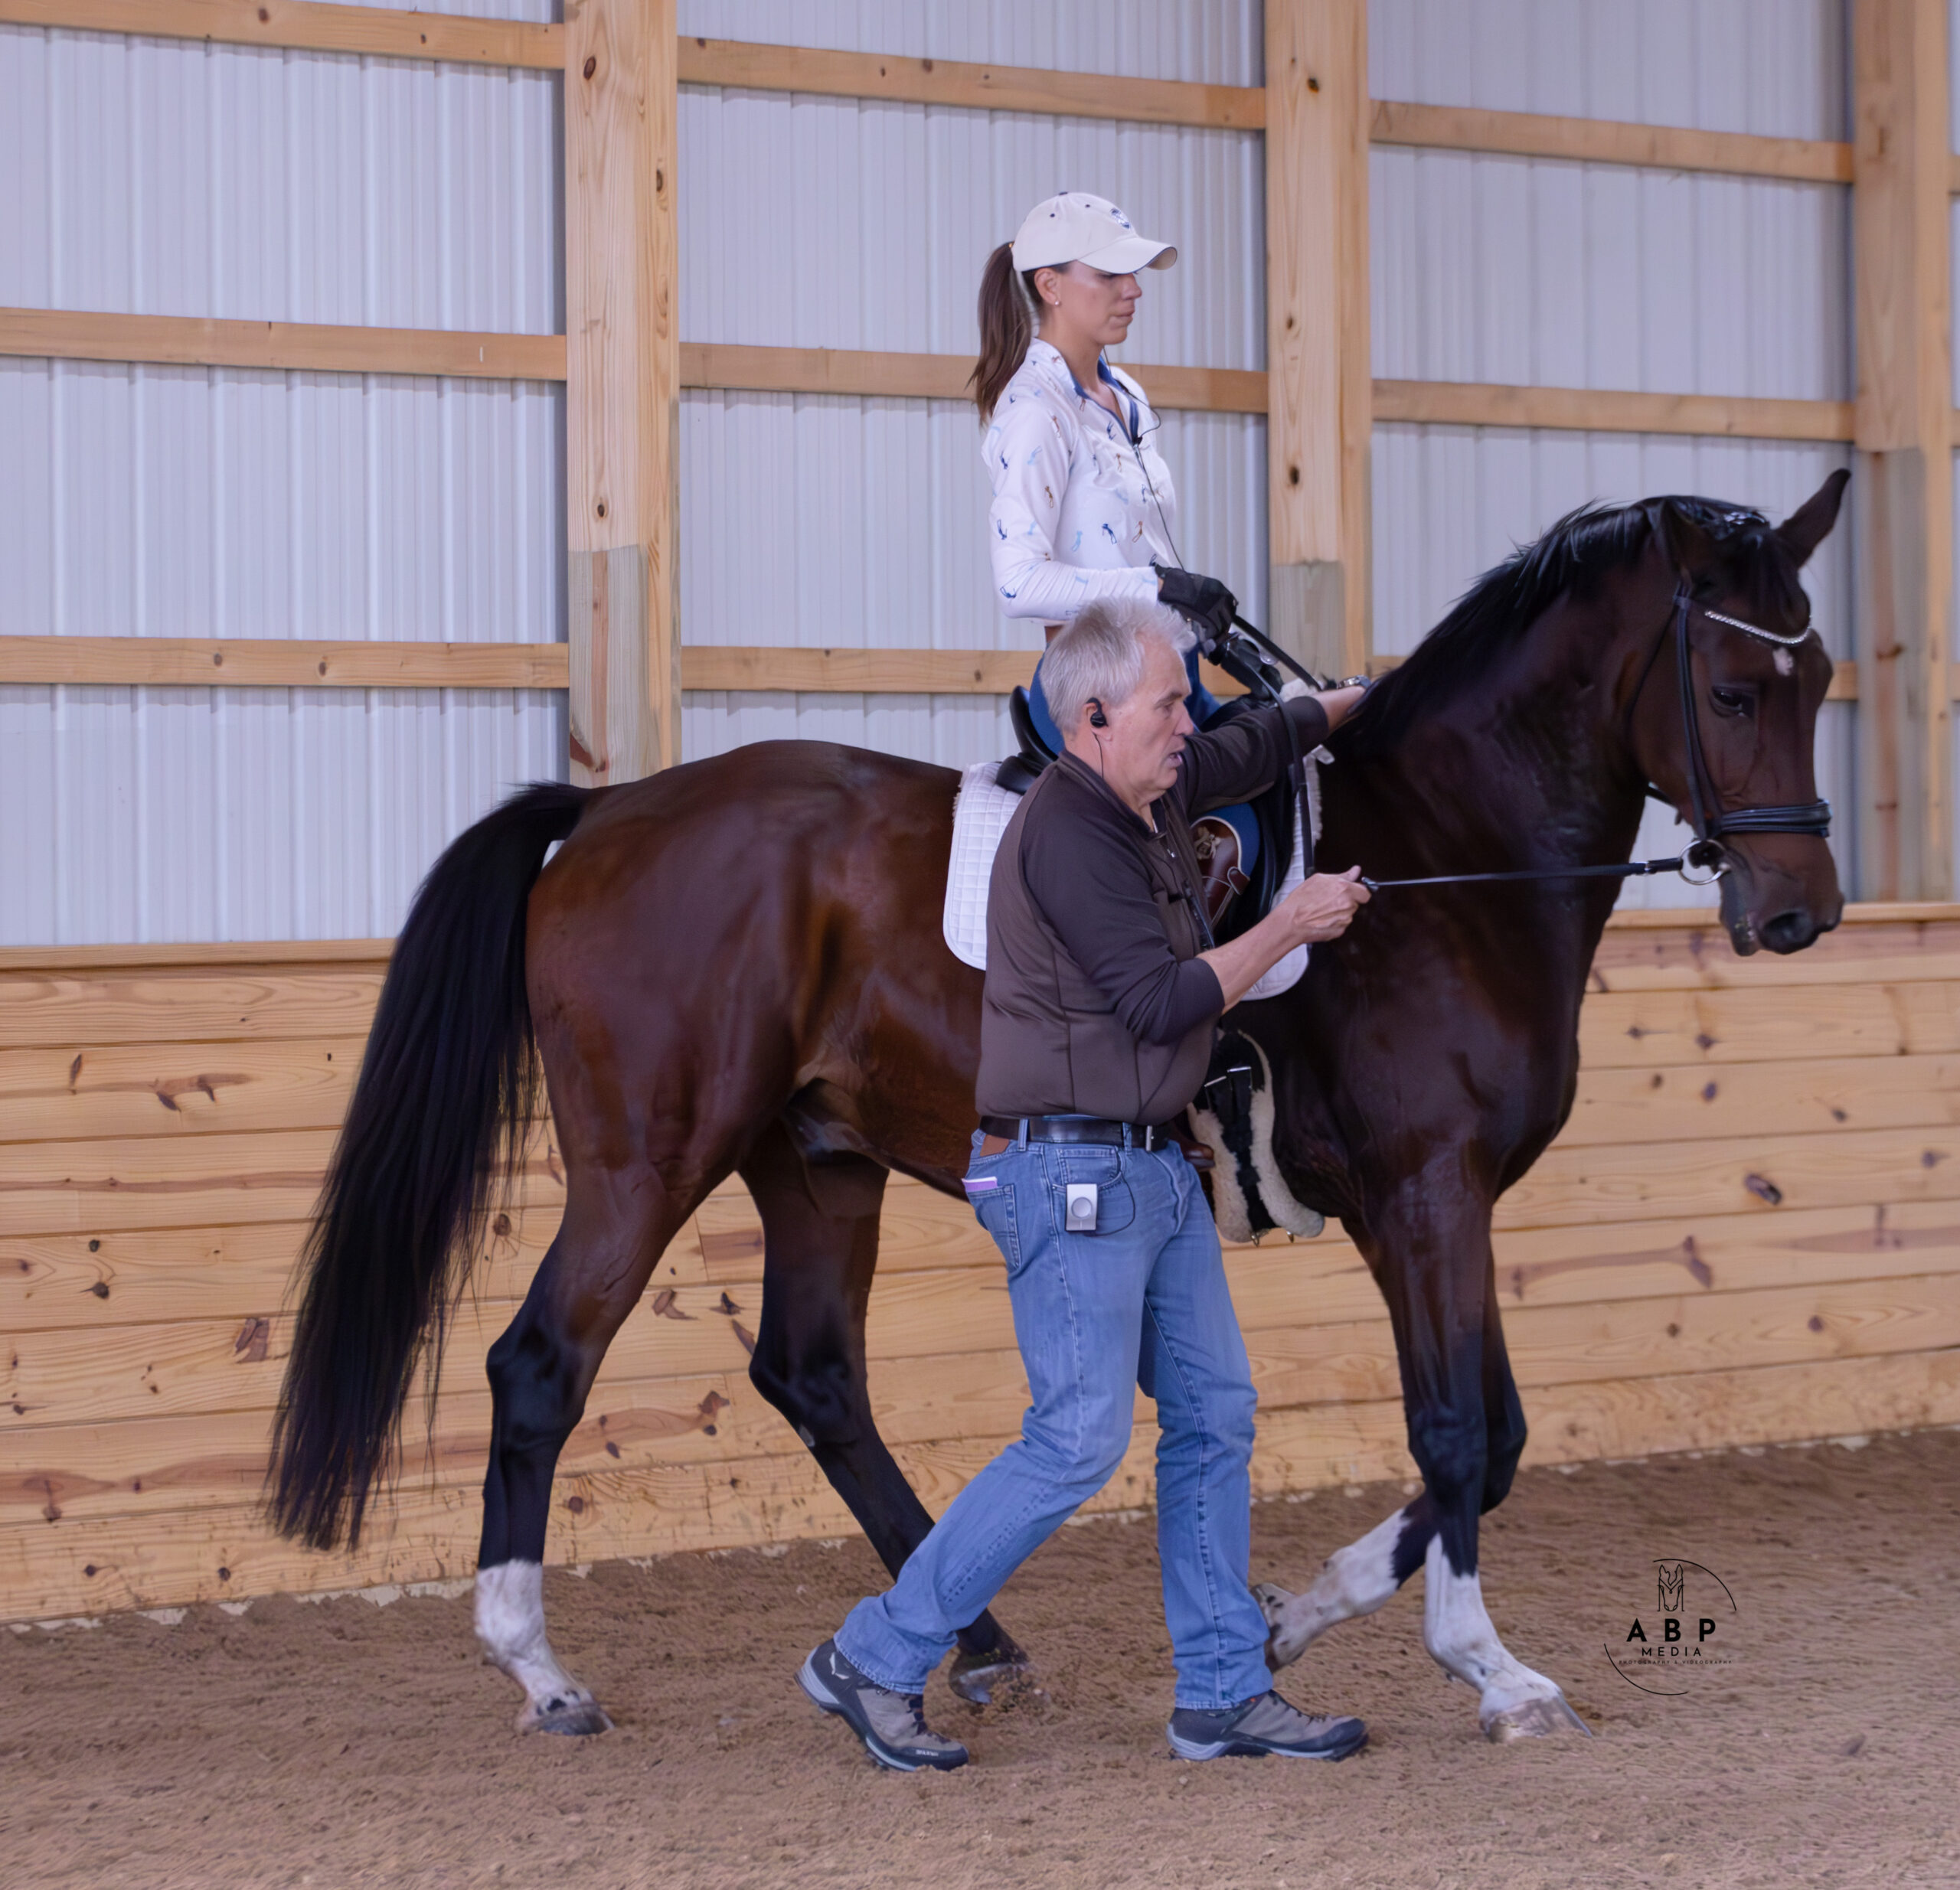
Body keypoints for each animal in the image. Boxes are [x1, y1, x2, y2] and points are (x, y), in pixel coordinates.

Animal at [268, 472, 1842, 1741]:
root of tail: (605, 812)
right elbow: (1462, 1429)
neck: (1444, 856)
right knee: (541, 1365)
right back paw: (540, 1671)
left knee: (816, 1377)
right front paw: (1489, 1670)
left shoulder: (1439, 1204)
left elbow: (1498, 1435)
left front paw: (1286, 1618)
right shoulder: (1423, 1191)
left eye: (1820, 675)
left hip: (816, 1161)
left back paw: (971, 1641)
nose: (1802, 913)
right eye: (1732, 692)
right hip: (647, 1160)